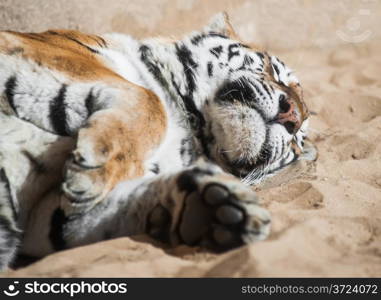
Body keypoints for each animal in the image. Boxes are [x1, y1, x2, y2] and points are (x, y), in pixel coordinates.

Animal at [0, 12, 314, 270]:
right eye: (272, 70)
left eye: (297, 141)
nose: (292, 117)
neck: (191, 131)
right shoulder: (52, 52)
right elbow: (150, 101)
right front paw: (93, 173)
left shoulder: (44, 216)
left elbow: (115, 206)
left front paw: (213, 208)